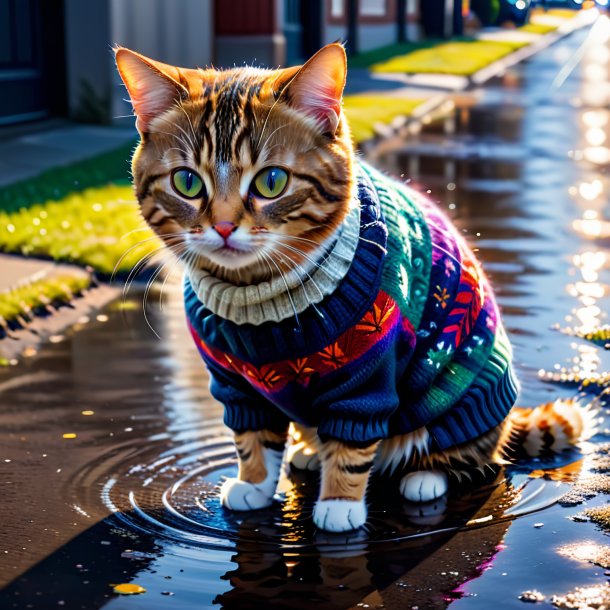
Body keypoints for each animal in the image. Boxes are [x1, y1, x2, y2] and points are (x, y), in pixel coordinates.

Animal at [114, 42, 588, 528]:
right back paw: (308, 453)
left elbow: (353, 440)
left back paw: (424, 476)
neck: (256, 294)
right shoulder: (234, 382)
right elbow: (252, 436)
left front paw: (340, 501)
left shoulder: (368, 373)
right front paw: (255, 483)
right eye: (187, 182)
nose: (224, 227)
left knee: (464, 452)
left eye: (272, 181)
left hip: (458, 399)